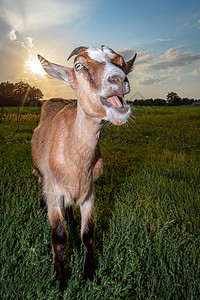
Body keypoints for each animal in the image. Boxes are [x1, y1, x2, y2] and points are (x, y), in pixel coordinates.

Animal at [31, 45, 137, 290]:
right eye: (79, 66)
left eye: (120, 62)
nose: (119, 79)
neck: (76, 164)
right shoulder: (54, 193)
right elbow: (59, 236)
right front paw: (60, 281)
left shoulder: (89, 193)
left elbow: (88, 234)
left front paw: (88, 276)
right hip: (42, 177)